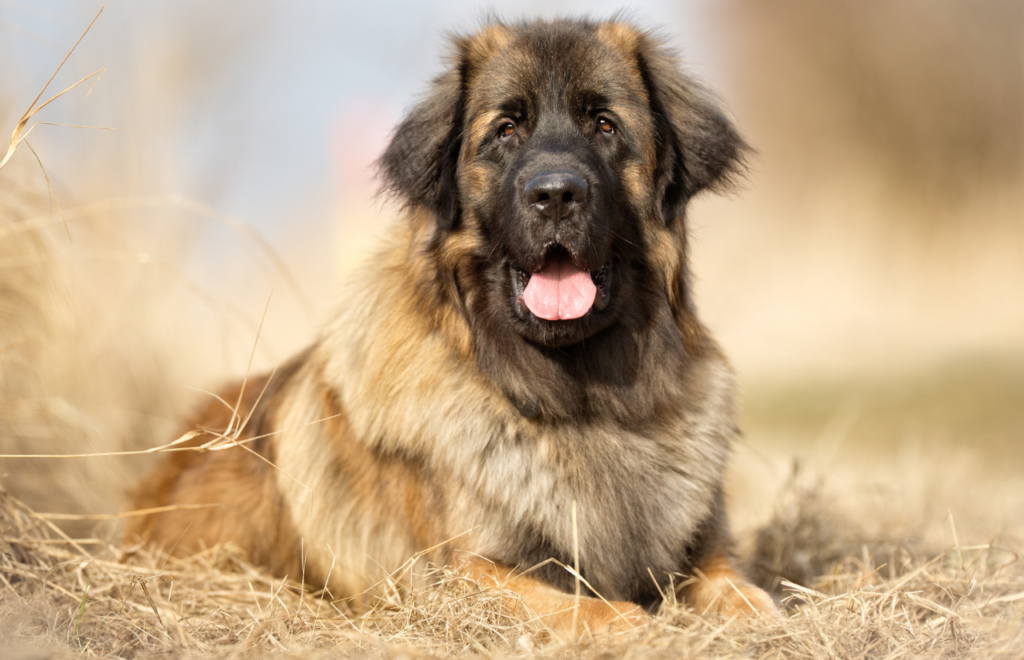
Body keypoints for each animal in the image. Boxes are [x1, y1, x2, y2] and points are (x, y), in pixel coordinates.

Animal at [128, 16, 778, 634]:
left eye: (605, 125)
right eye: (506, 130)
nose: (556, 195)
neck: (578, 400)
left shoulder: (703, 551)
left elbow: (744, 593)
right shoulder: (460, 572)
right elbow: (579, 607)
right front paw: (632, 624)